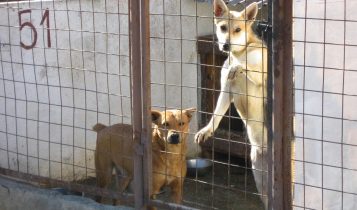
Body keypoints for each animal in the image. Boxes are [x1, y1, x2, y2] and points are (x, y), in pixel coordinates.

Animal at [195, 0, 268, 208]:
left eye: (237, 29)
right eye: (223, 28)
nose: (226, 45)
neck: (240, 53)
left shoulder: (262, 75)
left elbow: (246, 67)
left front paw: (239, 67)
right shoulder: (226, 91)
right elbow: (216, 115)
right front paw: (207, 130)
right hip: (260, 178)